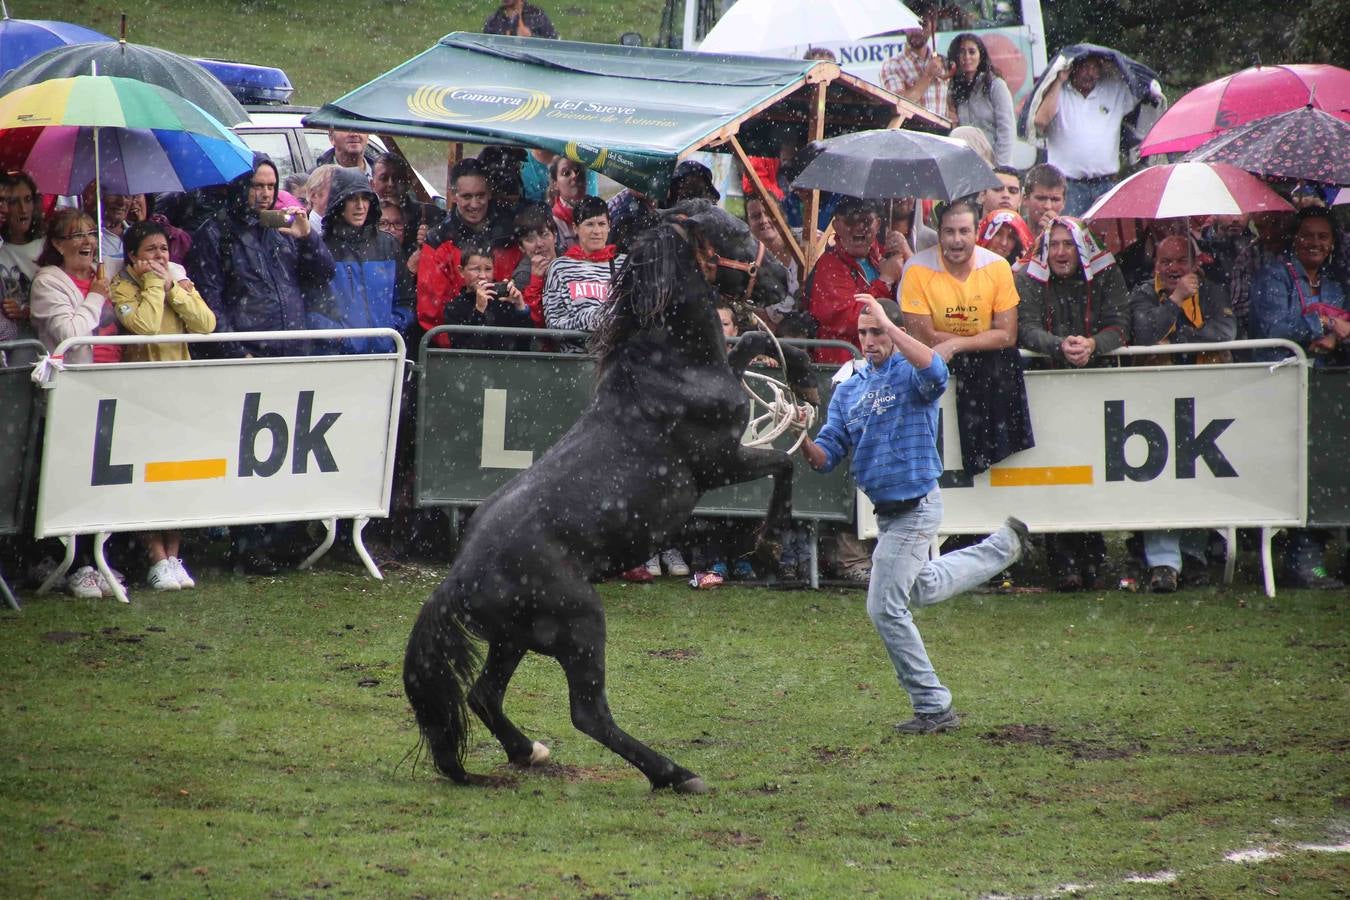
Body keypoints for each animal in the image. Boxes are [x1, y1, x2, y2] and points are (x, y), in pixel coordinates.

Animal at [402, 198, 810, 793]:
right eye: (736, 231)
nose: (786, 280)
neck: (668, 368)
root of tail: (459, 578)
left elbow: (754, 345)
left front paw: (803, 378)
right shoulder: (720, 463)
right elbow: (784, 464)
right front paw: (768, 546)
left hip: (515, 638)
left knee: (484, 695)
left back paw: (529, 751)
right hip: (580, 625)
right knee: (588, 713)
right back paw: (675, 774)